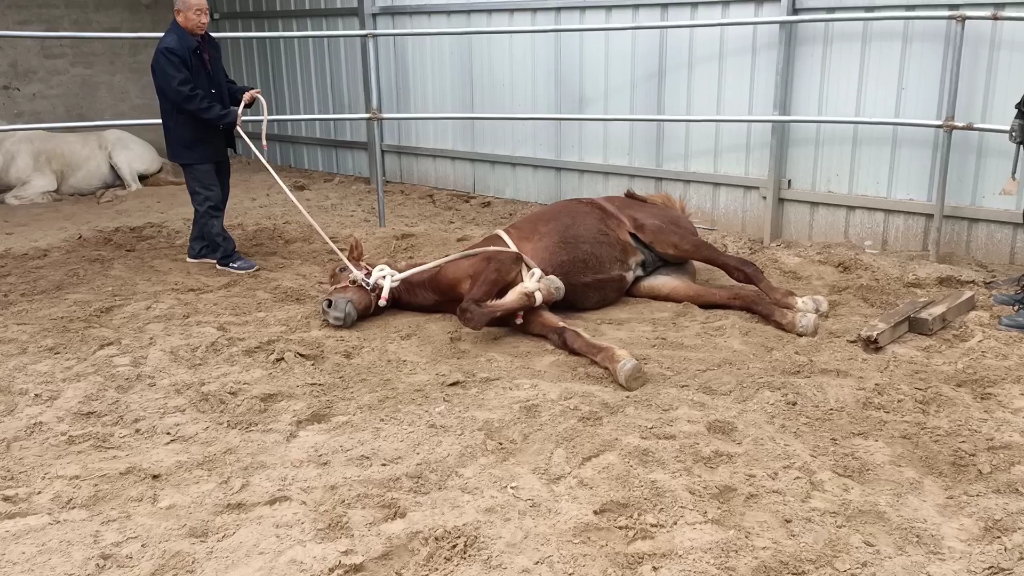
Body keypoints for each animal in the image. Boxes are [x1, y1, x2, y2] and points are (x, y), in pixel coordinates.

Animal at [0, 127, 182, 203]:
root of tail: (157, 156)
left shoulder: (42, 180)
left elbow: (9, 198)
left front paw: (50, 197)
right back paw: (103, 193)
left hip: (119, 157)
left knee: (134, 187)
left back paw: (107, 197)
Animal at [323, 188, 827, 389]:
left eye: (342, 273)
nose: (327, 306)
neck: (445, 273)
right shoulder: (531, 321)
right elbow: (569, 336)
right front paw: (623, 364)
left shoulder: (499, 264)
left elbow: (471, 312)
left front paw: (545, 283)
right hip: (661, 284)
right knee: (734, 296)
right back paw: (795, 317)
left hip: (675, 240)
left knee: (742, 268)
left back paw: (801, 302)